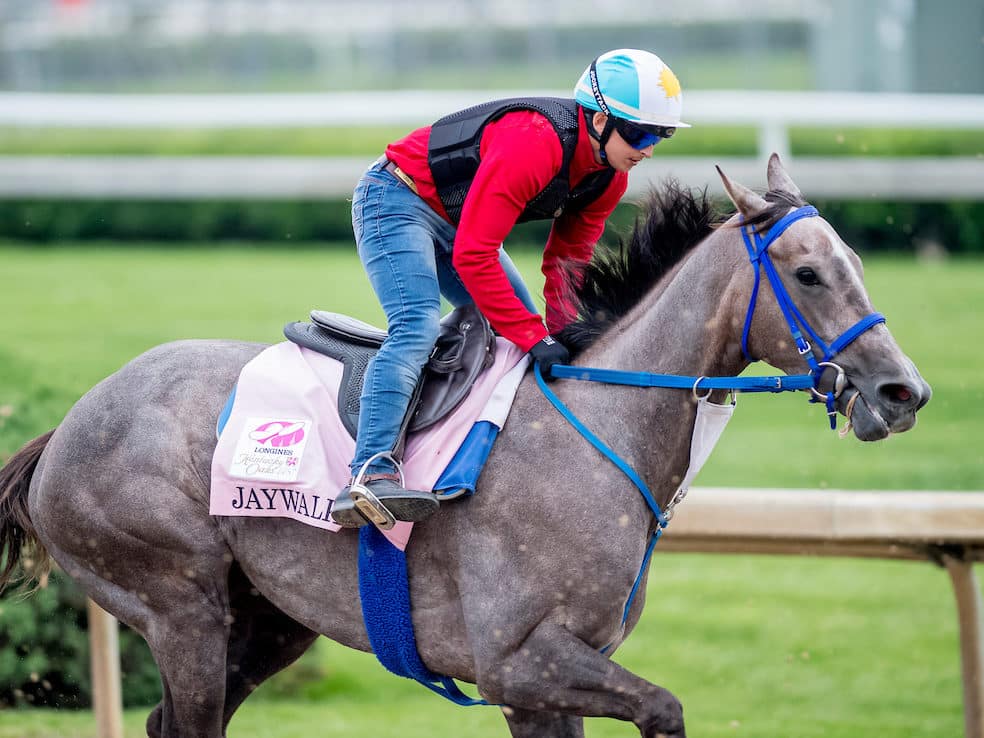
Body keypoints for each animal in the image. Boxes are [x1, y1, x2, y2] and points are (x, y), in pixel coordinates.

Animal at [0, 157, 932, 736]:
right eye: (808, 273)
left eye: (856, 262)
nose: (904, 392)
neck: (599, 428)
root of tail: (65, 430)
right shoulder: (517, 663)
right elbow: (665, 708)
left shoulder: (549, 685)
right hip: (178, 605)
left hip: (269, 618)